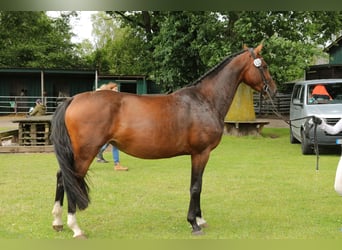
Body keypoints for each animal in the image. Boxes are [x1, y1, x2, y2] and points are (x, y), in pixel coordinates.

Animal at [50, 44, 276, 238]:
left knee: (62, 177)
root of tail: (73, 99)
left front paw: (200, 219)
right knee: (71, 179)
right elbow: (196, 186)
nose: (273, 90)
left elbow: (199, 184)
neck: (204, 100)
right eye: (264, 66)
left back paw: (58, 222)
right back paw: (75, 228)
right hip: (85, 152)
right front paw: (194, 223)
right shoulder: (201, 153)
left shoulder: (199, 154)